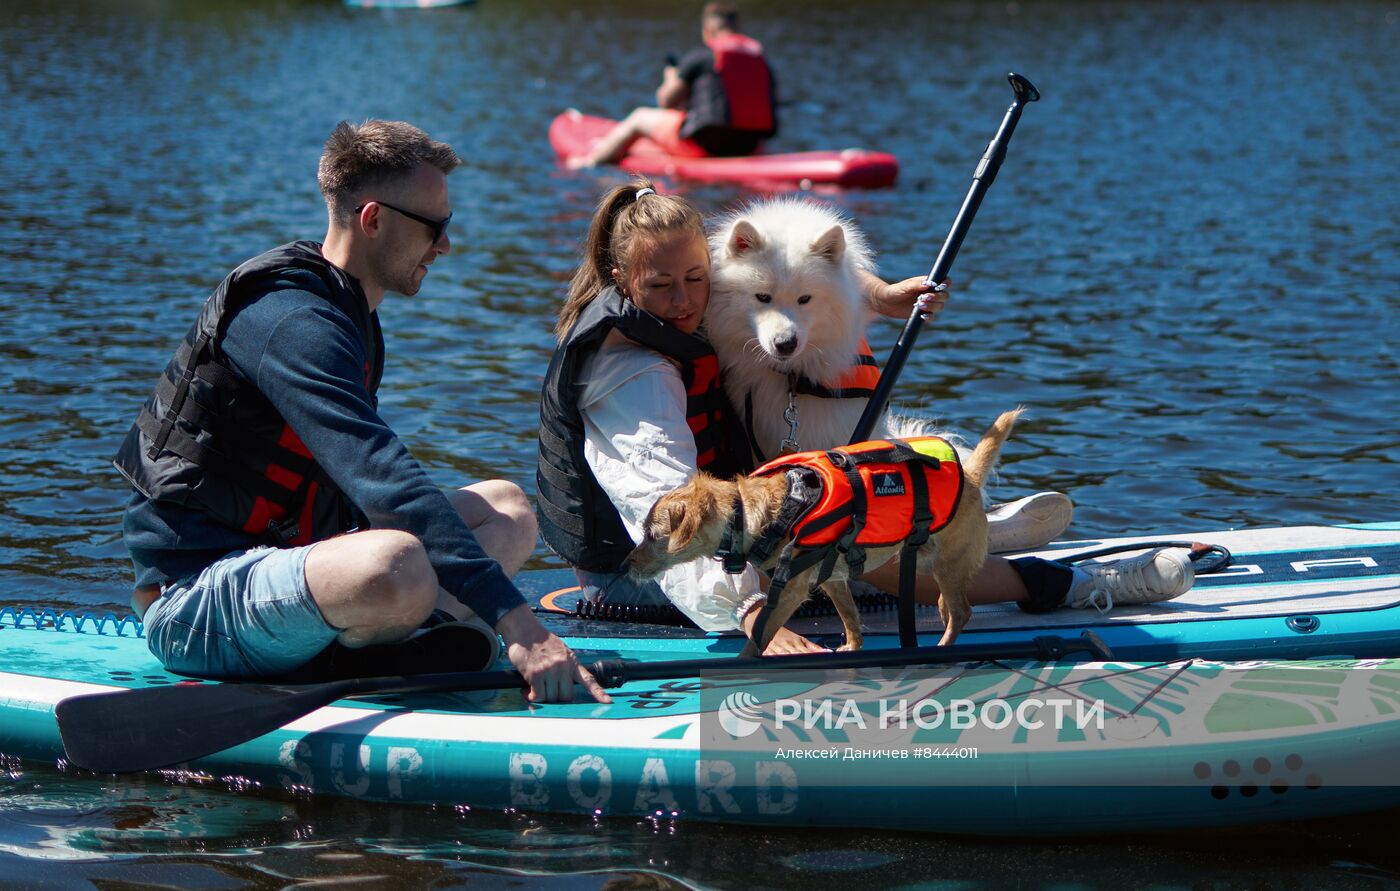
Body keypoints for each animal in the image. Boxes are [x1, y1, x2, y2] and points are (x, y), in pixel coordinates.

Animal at [627, 411, 1019, 655]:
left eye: (652, 536)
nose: (624, 565)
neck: (752, 514)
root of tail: (970, 476)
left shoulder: (790, 591)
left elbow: (760, 636)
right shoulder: (833, 580)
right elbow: (851, 621)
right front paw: (850, 650)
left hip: (946, 564)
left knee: (962, 611)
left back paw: (943, 647)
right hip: (925, 562)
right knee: (949, 604)